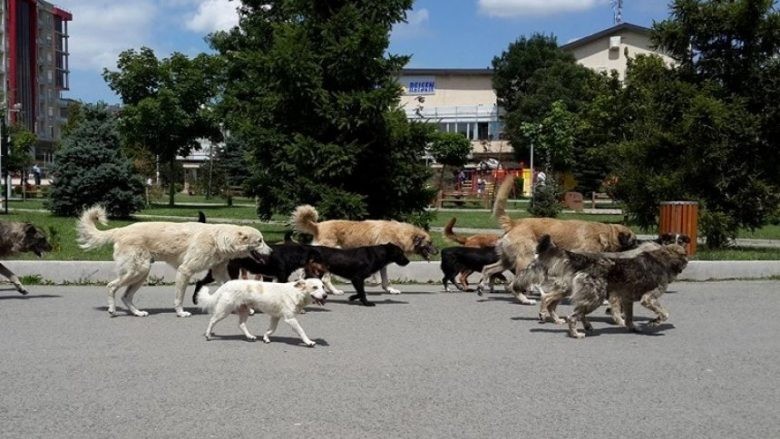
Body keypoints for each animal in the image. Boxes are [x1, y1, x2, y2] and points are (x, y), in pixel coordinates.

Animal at [76, 206, 272, 320]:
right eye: (260, 241)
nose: (271, 252)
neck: (219, 239)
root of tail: (120, 230)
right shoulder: (185, 271)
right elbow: (179, 297)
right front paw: (180, 312)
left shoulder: (219, 272)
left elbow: (230, 286)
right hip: (138, 270)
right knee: (111, 286)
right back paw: (112, 309)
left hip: (142, 273)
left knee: (126, 296)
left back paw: (137, 313)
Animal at [198, 278, 330, 348]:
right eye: (315, 287)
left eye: (323, 286)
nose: (325, 296)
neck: (297, 293)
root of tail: (227, 283)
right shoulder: (290, 319)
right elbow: (301, 331)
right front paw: (308, 342)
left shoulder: (275, 317)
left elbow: (271, 330)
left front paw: (266, 338)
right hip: (224, 310)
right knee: (212, 320)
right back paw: (208, 335)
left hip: (244, 310)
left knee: (241, 325)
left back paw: (250, 336)